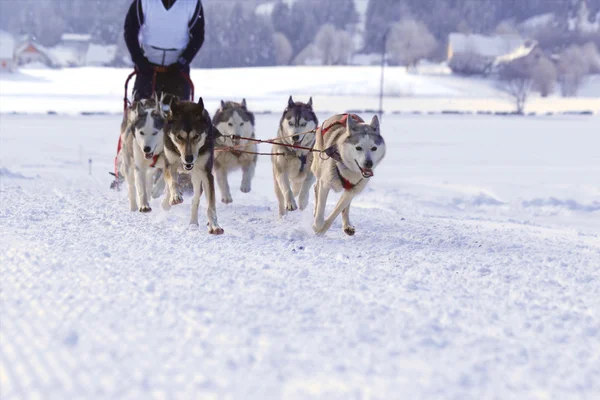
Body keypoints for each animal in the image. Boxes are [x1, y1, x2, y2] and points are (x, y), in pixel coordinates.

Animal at [161, 97, 224, 234]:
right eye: (179, 136)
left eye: (196, 136)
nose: (188, 158)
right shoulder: (170, 165)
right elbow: (173, 183)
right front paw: (175, 196)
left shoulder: (206, 174)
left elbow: (211, 205)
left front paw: (215, 225)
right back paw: (166, 202)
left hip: (196, 177)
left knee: (195, 200)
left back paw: (193, 223)